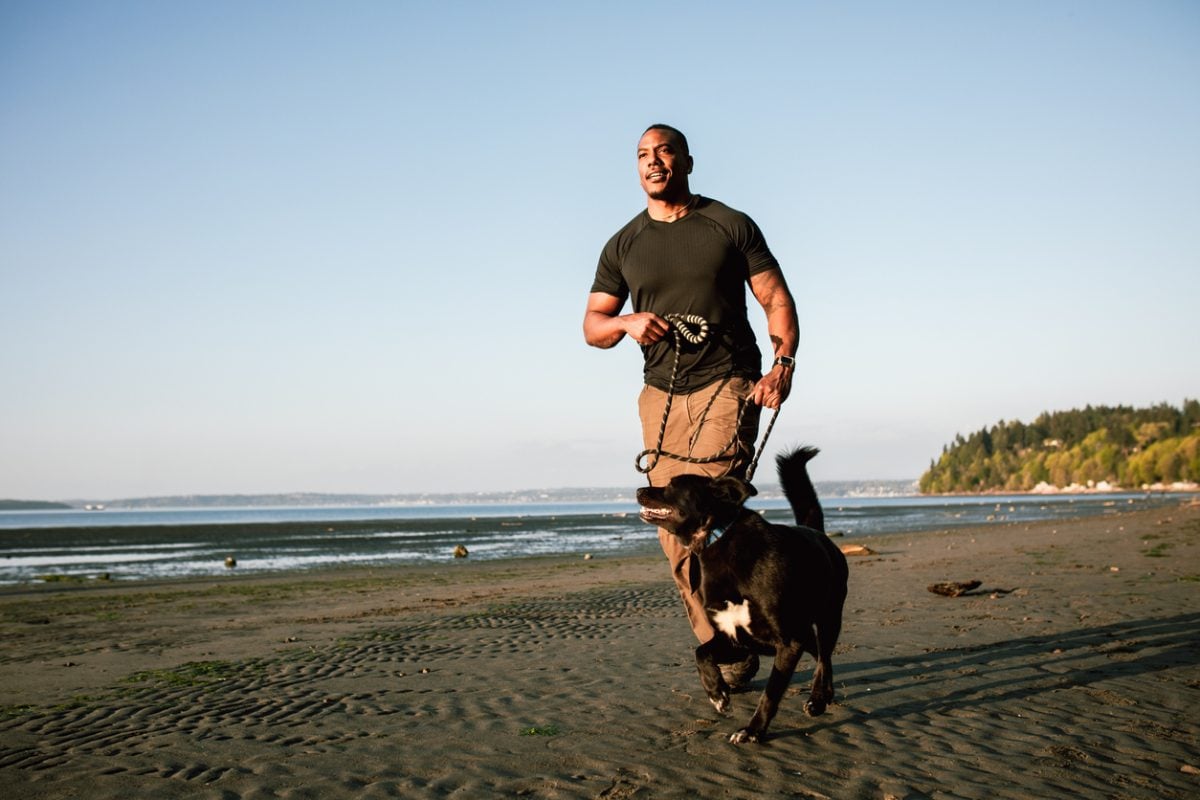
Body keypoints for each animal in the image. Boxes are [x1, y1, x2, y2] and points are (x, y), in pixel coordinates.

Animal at [633, 448, 849, 748]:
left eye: (674, 485)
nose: (639, 489)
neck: (717, 538)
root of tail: (817, 533)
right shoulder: (734, 639)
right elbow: (701, 652)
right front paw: (718, 693)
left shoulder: (788, 643)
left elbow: (771, 693)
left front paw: (753, 731)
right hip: (805, 632)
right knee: (820, 656)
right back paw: (824, 696)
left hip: (828, 617)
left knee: (825, 656)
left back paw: (817, 700)